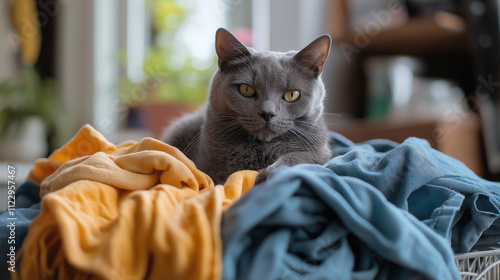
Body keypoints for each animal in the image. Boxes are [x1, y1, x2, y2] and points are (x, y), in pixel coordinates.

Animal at [162, 28, 332, 185]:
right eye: (246, 89)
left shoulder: (322, 151)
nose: (267, 113)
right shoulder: (208, 173)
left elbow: (305, 158)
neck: (261, 149)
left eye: (292, 94)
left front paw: (270, 171)